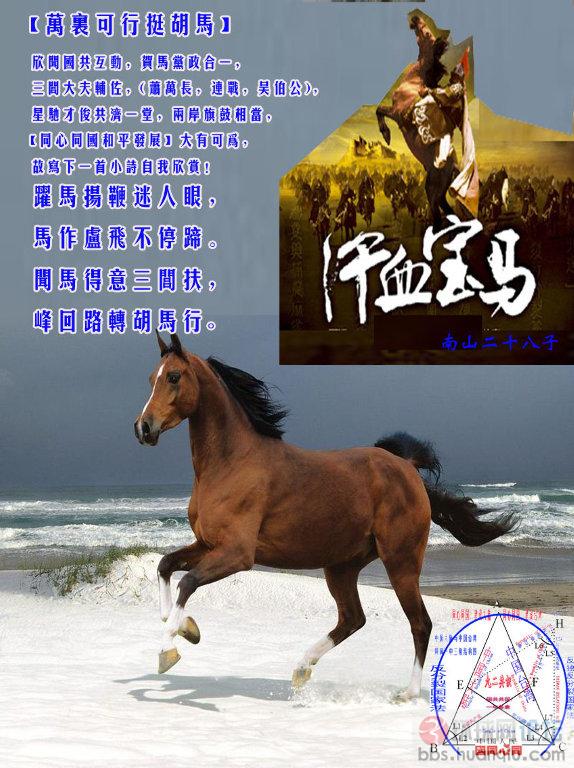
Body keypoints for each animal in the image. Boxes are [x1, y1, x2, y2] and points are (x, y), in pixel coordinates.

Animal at [135, 333, 517, 697]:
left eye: (173, 377)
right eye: (151, 378)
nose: (143, 428)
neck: (231, 463)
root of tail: (407, 467)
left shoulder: (237, 554)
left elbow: (187, 581)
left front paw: (168, 650)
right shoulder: (207, 544)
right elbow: (166, 566)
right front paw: (184, 626)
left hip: (401, 561)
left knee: (420, 623)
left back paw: (406, 693)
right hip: (342, 566)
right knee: (353, 619)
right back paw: (302, 668)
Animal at [375, 15, 457, 227]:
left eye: (427, 33)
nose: (415, 18)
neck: (414, 81)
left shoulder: (397, 113)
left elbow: (379, 110)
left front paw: (386, 135)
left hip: (432, 187)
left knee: (437, 209)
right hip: (438, 188)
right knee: (446, 207)